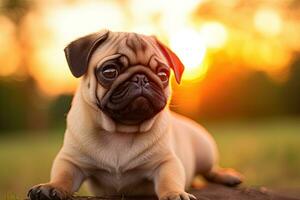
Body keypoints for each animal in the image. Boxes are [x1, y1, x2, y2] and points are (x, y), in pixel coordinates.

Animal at [27, 29, 241, 200]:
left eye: (163, 75)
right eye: (110, 71)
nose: (141, 78)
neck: (120, 130)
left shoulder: (166, 162)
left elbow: (169, 179)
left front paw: (175, 193)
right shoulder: (72, 161)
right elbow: (63, 176)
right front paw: (50, 187)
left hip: (205, 151)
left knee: (211, 170)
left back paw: (228, 176)